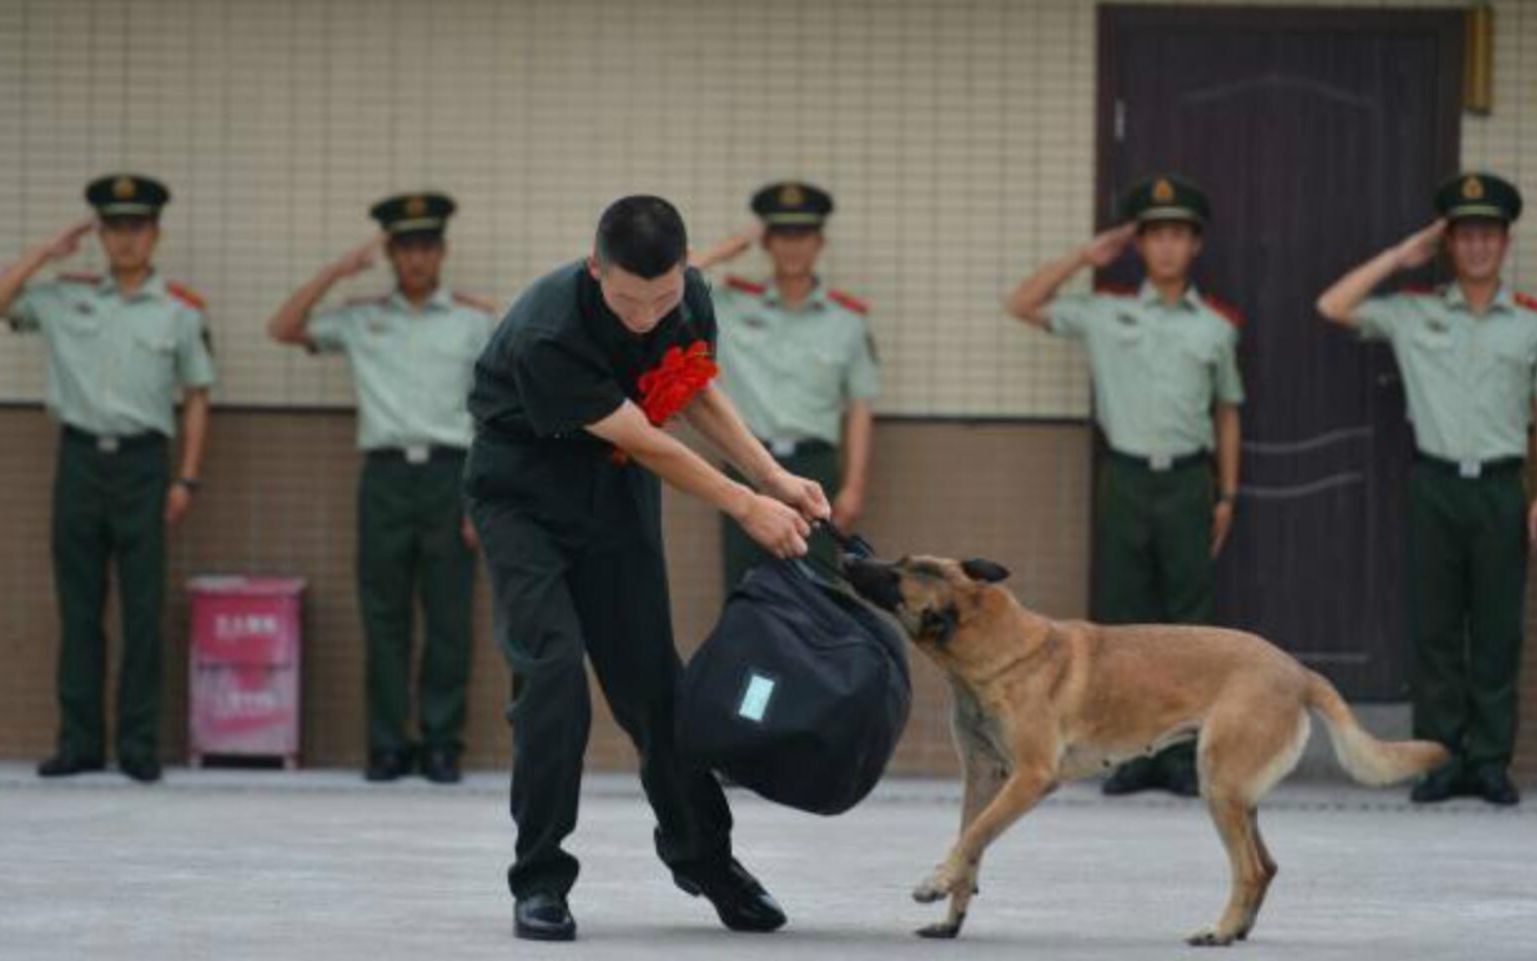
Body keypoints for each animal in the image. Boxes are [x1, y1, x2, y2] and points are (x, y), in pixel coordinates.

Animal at [848, 553, 1444, 947]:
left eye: (895, 575)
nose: (851, 553)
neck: (997, 641)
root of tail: (1298, 671)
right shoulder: (983, 776)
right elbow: (970, 842)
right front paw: (951, 915)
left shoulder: (1030, 778)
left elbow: (973, 836)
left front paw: (934, 883)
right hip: (1236, 792)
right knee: (1268, 865)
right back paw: (1239, 929)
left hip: (1219, 786)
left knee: (1250, 869)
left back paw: (1219, 931)